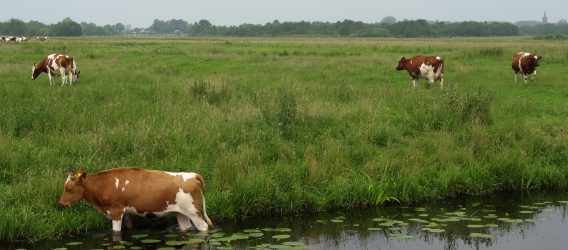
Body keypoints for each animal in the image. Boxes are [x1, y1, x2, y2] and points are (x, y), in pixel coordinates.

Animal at [58, 168, 213, 232]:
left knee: (204, 227)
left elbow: (115, 232)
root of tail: (192, 175)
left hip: (194, 212)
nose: (61, 203)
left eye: (69, 188)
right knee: (186, 227)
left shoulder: (116, 212)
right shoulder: (126, 213)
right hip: (181, 213)